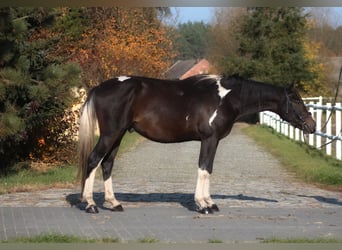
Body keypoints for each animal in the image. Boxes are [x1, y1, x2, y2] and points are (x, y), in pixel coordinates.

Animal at [77, 73, 316, 214]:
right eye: (296, 100)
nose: (312, 126)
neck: (226, 98)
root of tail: (99, 88)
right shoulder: (209, 139)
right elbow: (204, 169)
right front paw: (203, 205)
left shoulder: (212, 141)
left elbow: (208, 169)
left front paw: (209, 202)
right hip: (111, 134)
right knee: (94, 160)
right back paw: (90, 204)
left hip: (118, 135)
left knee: (107, 164)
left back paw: (114, 203)